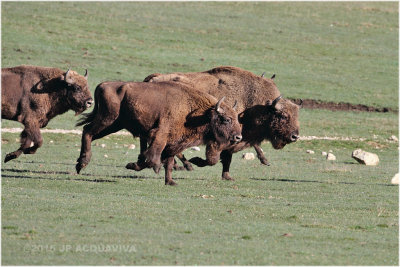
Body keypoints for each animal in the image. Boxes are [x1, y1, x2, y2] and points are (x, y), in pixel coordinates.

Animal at [76, 81, 242, 186]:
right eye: (226, 119)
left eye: (237, 118)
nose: (238, 137)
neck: (197, 112)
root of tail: (103, 85)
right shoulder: (160, 135)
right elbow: (154, 156)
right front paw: (153, 167)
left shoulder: (174, 143)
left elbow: (166, 162)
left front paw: (170, 182)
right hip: (107, 119)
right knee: (88, 131)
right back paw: (82, 162)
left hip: (115, 124)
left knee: (88, 132)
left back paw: (80, 164)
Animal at [144, 66, 300, 181]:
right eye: (283, 116)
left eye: (296, 114)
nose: (295, 136)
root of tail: (153, 79)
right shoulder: (219, 141)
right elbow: (213, 159)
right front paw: (196, 160)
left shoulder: (236, 138)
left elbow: (226, 158)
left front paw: (227, 176)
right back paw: (183, 165)